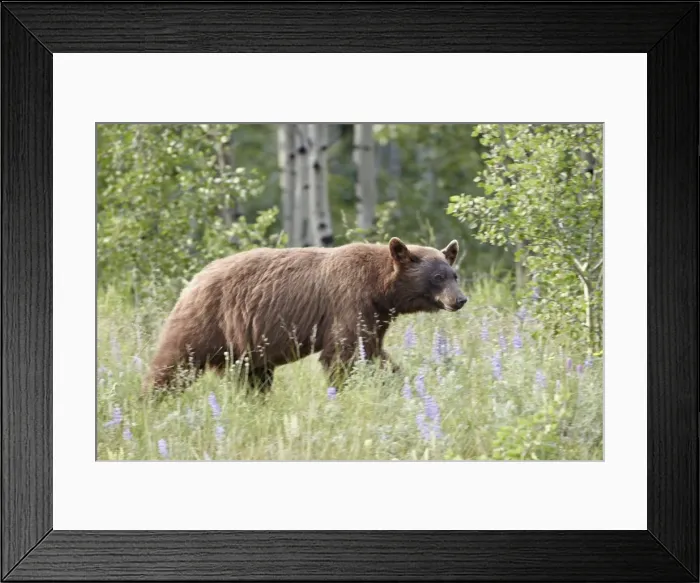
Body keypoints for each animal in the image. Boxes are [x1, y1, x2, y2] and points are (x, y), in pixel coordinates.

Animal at [142, 237, 467, 395]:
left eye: (454, 274)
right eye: (438, 277)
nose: (460, 299)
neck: (380, 288)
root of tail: (193, 280)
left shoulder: (375, 314)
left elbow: (373, 351)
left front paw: (400, 382)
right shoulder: (348, 300)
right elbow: (342, 355)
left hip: (246, 346)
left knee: (252, 377)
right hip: (207, 321)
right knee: (174, 363)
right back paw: (150, 400)